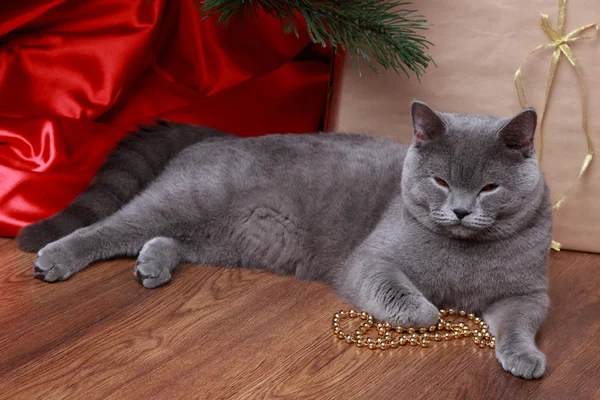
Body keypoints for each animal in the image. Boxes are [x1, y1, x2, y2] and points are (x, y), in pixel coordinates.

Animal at [17, 101, 552, 380]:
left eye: (489, 187)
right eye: (440, 181)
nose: (460, 209)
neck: (465, 255)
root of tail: (221, 135)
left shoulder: (529, 293)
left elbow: (520, 323)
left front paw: (524, 358)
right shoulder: (372, 260)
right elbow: (410, 301)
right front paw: (433, 312)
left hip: (226, 236)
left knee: (164, 238)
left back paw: (154, 264)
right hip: (185, 201)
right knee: (111, 227)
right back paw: (56, 257)